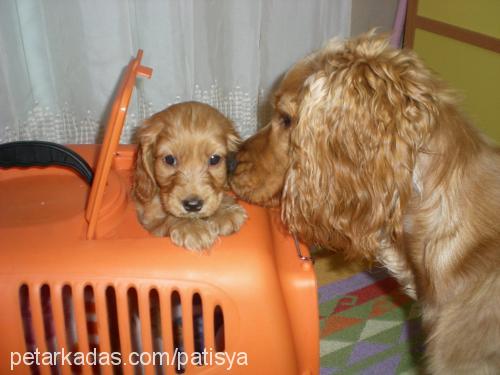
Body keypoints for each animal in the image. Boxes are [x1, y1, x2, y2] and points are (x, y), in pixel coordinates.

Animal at [134, 101, 247, 251]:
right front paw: (192, 228)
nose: (193, 205)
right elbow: (169, 218)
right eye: (169, 159)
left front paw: (224, 211)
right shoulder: (152, 220)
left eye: (214, 159)